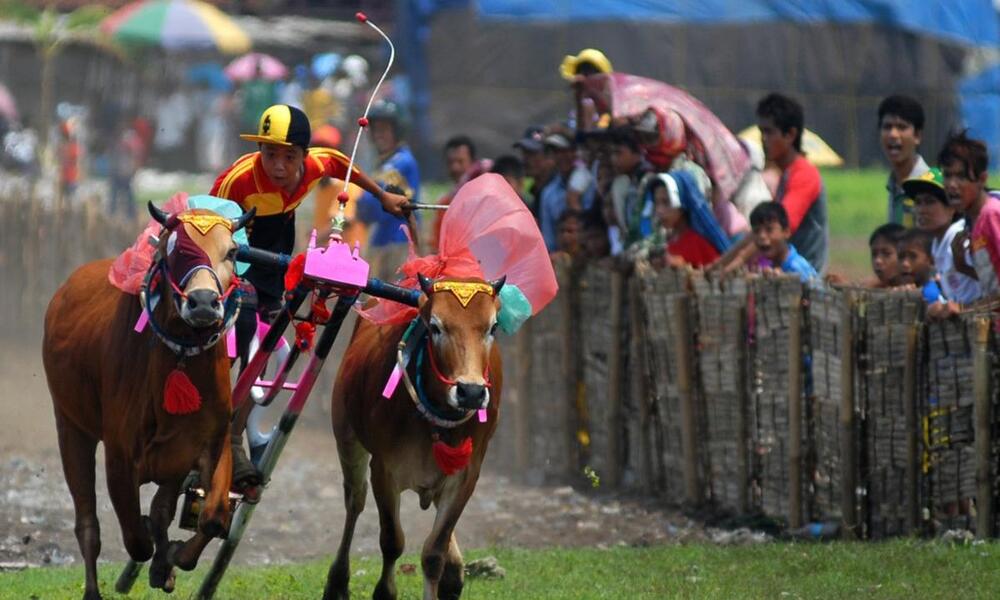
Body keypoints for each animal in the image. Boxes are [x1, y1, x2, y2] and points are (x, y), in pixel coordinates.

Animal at [45, 204, 252, 596]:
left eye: (232, 251)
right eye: (174, 251)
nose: (204, 303)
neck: (181, 361)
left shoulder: (212, 443)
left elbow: (212, 518)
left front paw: (171, 559)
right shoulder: (120, 457)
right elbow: (136, 538)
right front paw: (157, 554)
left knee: (162, 509)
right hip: (71, 427)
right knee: (88, 525)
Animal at [324, 276, 504, 600]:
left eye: (493, 326)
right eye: (435, 326)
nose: (471, 392)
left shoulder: (465, 476)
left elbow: (434, 553)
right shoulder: (383, 470)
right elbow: (392, 541)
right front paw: (384, 591)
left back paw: (454, 574)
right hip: (347, 438)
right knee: (355, 501)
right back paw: (337, 582)